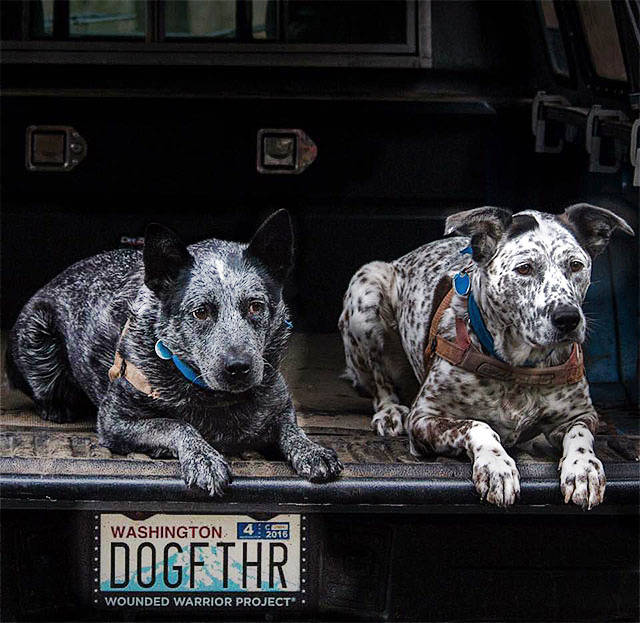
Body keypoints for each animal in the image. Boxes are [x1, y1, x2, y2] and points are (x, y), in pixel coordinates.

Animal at [7, 212, 342, 494]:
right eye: (201, 311)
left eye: (256, 306)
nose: (238, 367)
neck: (216, 399)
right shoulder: (115, 420)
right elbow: (174, 424)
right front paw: (203, 457)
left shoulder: (279, 405)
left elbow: (290, 428)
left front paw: (311, 449)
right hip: (37, 337)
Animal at [340, 207, 636, 510]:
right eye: (524, 268)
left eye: (576, 265)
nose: (568, 318)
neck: (520, 368)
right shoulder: (423, 417)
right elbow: (477, 425)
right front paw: (496, 466)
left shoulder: (580, 414)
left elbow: (580, 434)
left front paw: (583, 468)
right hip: (366, 291)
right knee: (379, 381)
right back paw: (389, 411)